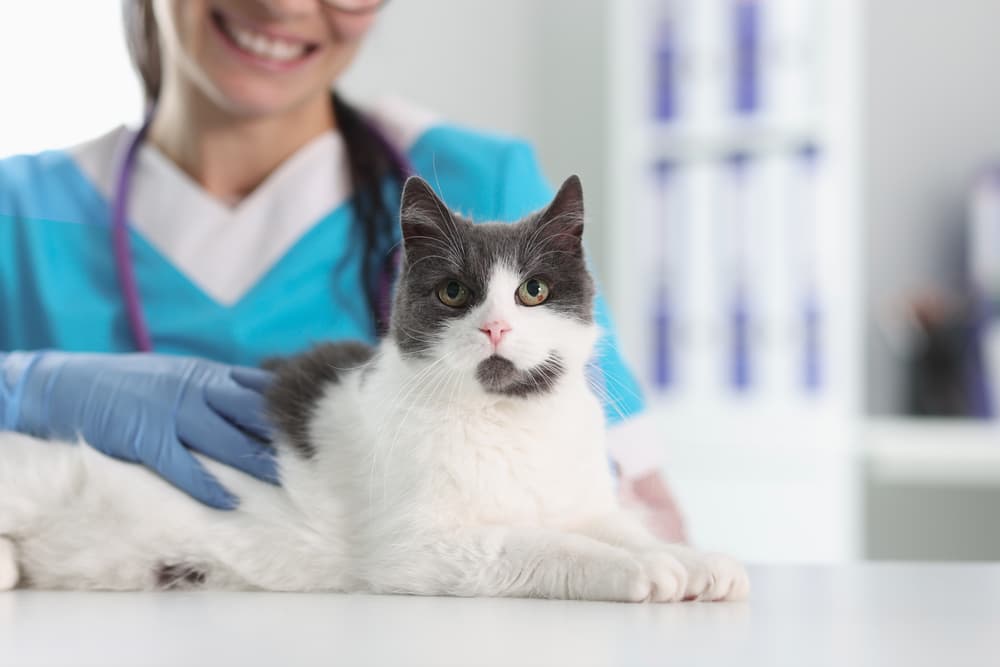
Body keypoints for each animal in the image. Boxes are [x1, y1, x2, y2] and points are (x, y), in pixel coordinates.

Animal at [0, 175, 752, 604]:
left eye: (534, 290)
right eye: (454, 292)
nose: (497, 326)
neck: (507, 422)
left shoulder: (579, 501)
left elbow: (622, 526)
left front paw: (696, 561)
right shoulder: (424, 550)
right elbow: (545, 546)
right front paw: (642, 573)